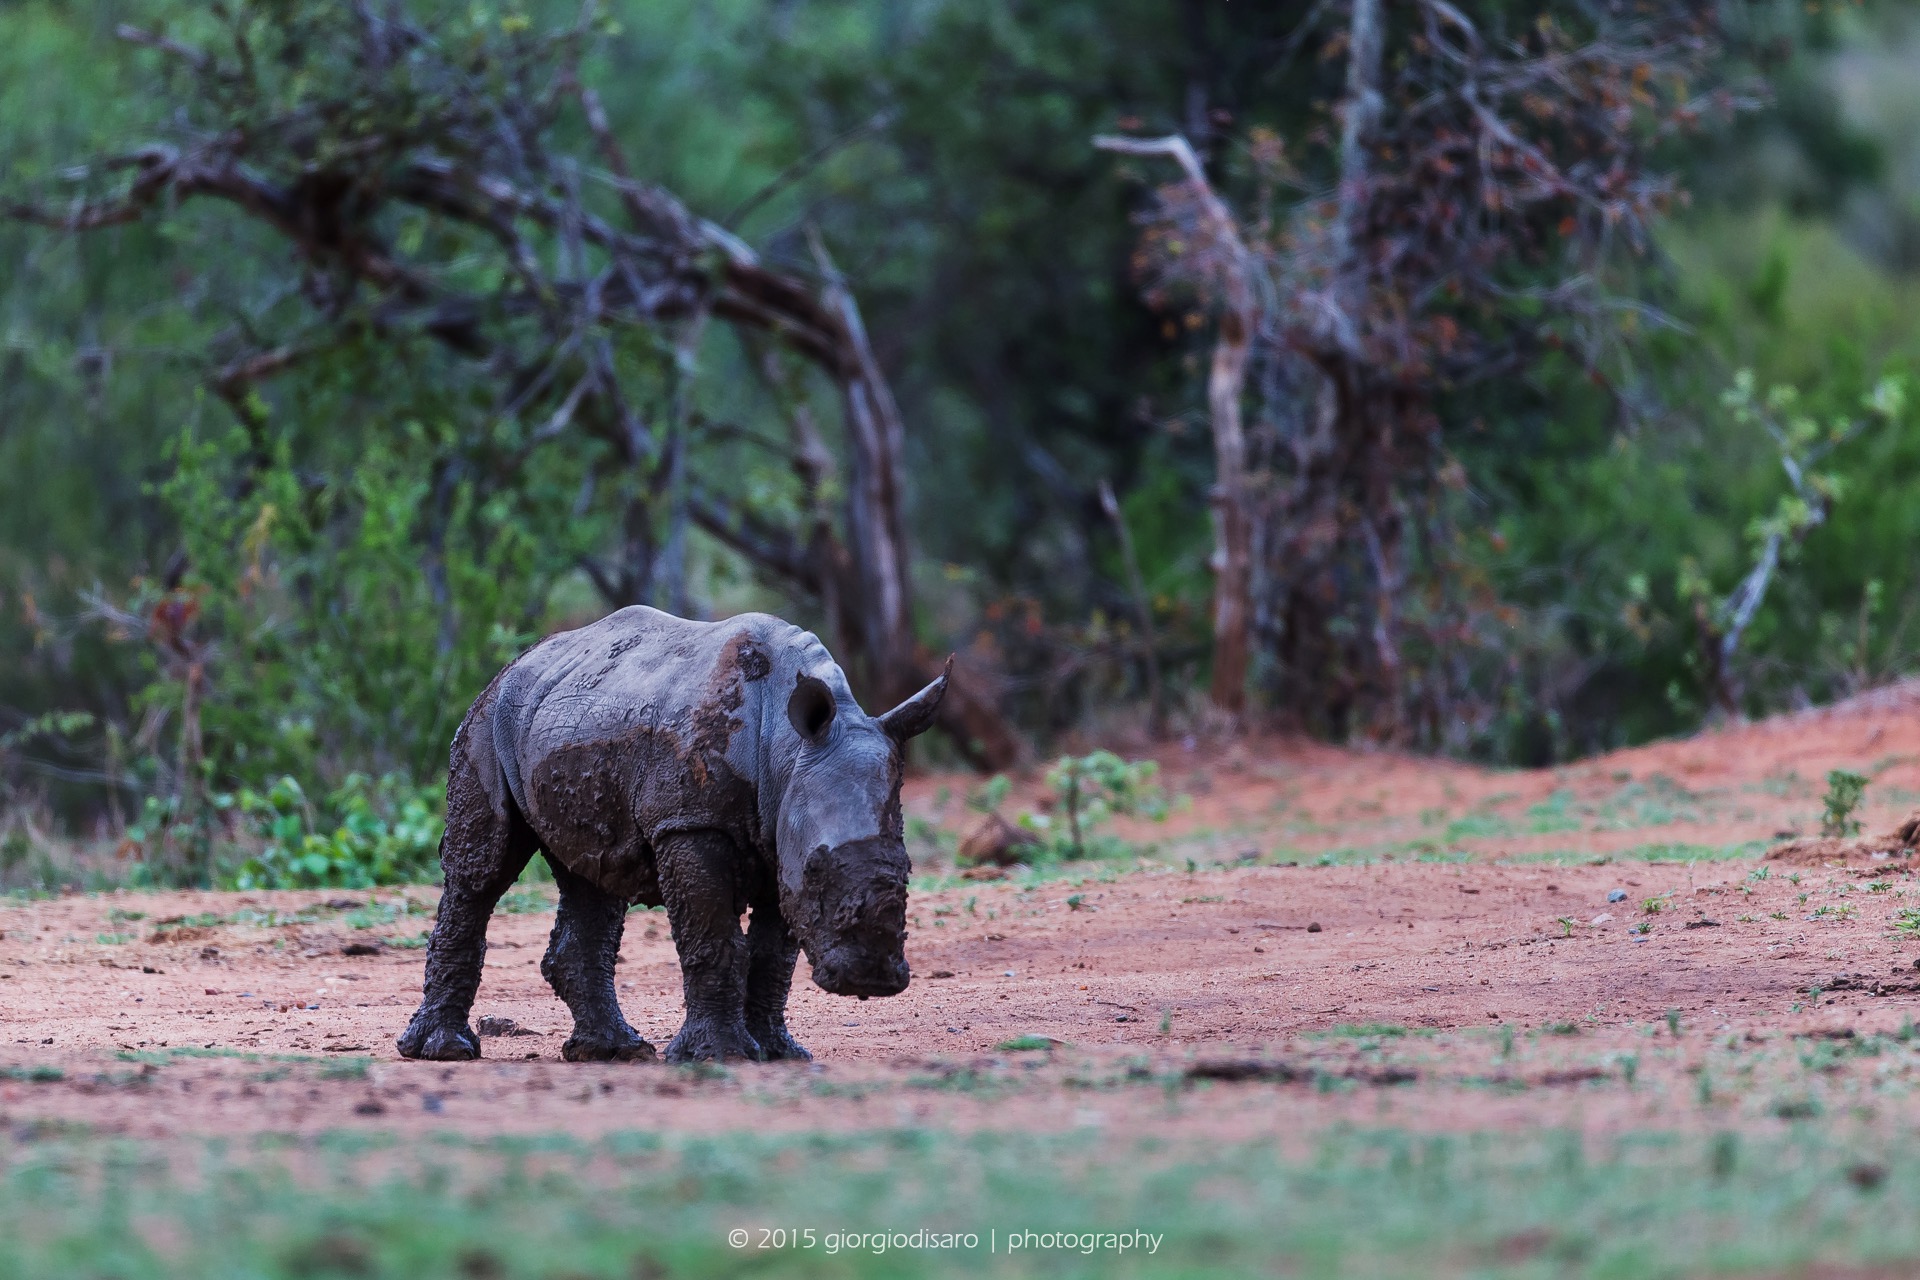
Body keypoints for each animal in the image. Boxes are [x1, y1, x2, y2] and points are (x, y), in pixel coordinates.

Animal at [396, 606, 948, 1063]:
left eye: (906, 871)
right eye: (816, 871)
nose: (870, 977)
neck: (788, 749)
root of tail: (516, 662)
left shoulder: (781, 835)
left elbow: (773, 954)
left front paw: (780, 1053)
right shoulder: (689, 822)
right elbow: (714, 938)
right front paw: (722, 1056)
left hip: (572, 724)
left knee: (593, 875)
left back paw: (613, 1052)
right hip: (488, 720)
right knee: (483, 872)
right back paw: (444, 1052)